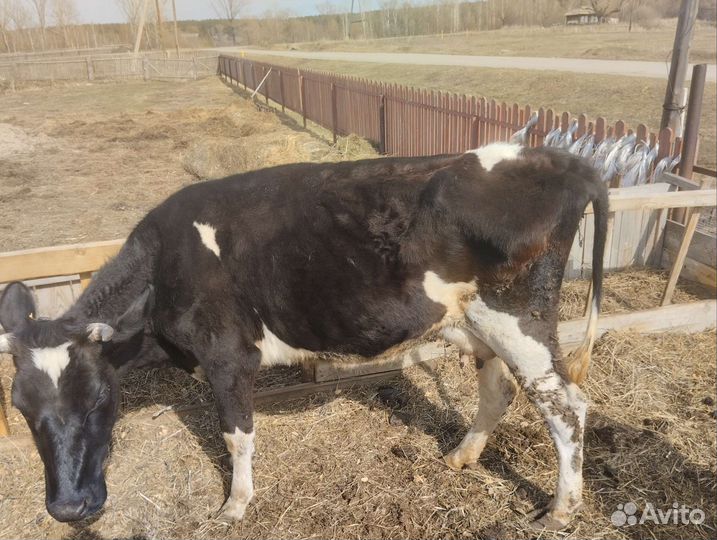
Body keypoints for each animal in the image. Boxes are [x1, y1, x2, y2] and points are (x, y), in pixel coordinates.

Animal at [0, 142, 608, 530]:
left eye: (97, 398)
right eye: (21, 408)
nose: (67, 510)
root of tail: (564, 161)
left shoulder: (227, 356)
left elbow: (236, 436)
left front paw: (235, 505)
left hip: (519, 318)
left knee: (567, 406)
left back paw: (560, 509)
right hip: (475, 321)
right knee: (499, 390)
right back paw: (462, 456)